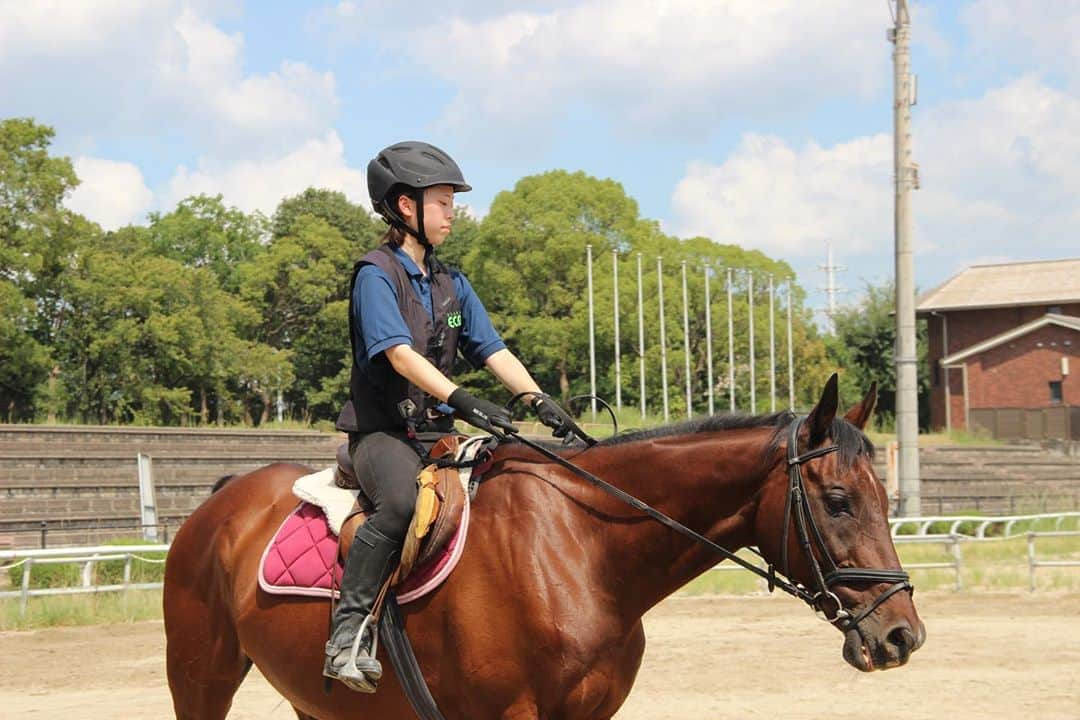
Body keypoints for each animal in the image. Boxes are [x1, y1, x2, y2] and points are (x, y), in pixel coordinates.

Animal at [164, 377, 924, 720]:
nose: (902, 635)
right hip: (200, 678)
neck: (583, 549)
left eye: (886, 501)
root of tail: (218, 505)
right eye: (837, 500)